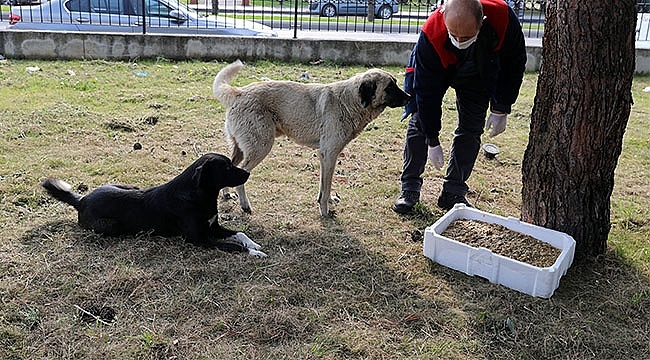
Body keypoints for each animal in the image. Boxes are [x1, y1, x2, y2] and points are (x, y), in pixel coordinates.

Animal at [41, 153, 264, 258]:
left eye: (231, 164)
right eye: (226, 167)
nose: (248, 173)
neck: (198, 195)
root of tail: (82, 200)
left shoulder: (213, 227)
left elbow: (240, 234)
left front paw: (253, 245)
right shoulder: (198, 239)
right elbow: (233, 246)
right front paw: (253, 253)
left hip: (130, 186)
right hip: (111, 226)